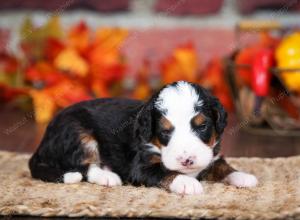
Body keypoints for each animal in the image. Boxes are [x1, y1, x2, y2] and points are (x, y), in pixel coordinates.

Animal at [28, 81, 258, 194]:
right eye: (165, 131)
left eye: (202, 126)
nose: (187, 160)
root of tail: (42, 143)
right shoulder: (141, 167)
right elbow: (165, 172)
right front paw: (186, 182)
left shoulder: (211, 154)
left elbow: (223, 166)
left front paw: (243, 176)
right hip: (77, 133)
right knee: (83, 167)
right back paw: (108, 176)